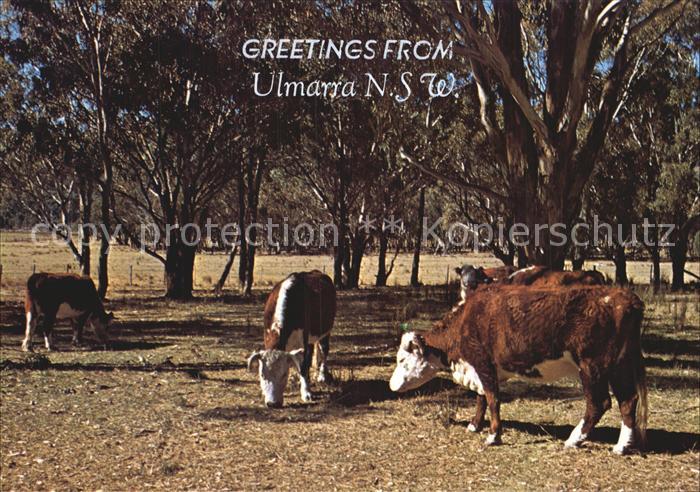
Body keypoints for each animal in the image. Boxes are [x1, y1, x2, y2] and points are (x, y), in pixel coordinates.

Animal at [247, 270, 336, 408]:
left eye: (284, 374)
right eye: (262, 374)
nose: (273, 403)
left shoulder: (303, 341)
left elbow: (303, 366)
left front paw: (306, 392)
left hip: (326, 331)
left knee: (324, 350)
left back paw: (322, 375)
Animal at [389, 285, 647, 454]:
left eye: (401, 360)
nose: (391, 385)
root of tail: (626, 297)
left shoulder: (483, 362)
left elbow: (492, 398)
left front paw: (493, 436)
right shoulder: (485, 370)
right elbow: (481, 397)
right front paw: (474, 425)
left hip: (593, 367)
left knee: (599, 403)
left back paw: (574, 440)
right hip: (619, 365)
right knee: (628, 401)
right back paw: (622, 446)